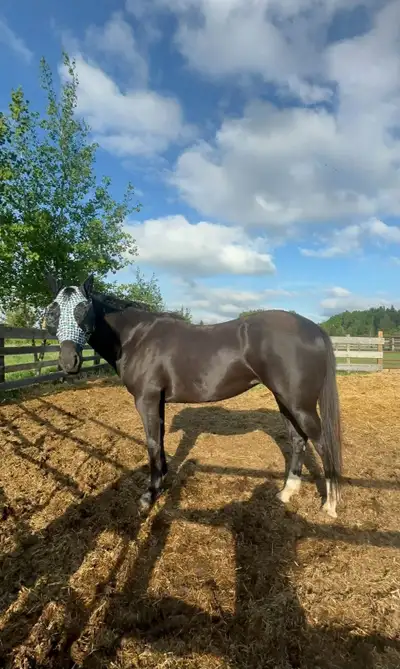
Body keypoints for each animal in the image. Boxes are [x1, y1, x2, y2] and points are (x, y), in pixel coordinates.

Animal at [44, 273, 343, 518]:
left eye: (84, 310)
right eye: (54, 311)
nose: (68, 361)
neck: (137, 338)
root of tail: (313, 328)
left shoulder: (146, 400)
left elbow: (152, 443)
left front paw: (148, 496)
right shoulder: (158, 401)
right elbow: (160, 441)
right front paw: (162, 481)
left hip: (300, 404)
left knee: (323, 444)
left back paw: (330, 505)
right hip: (285, 401)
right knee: (298, 440)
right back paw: (286, 492)